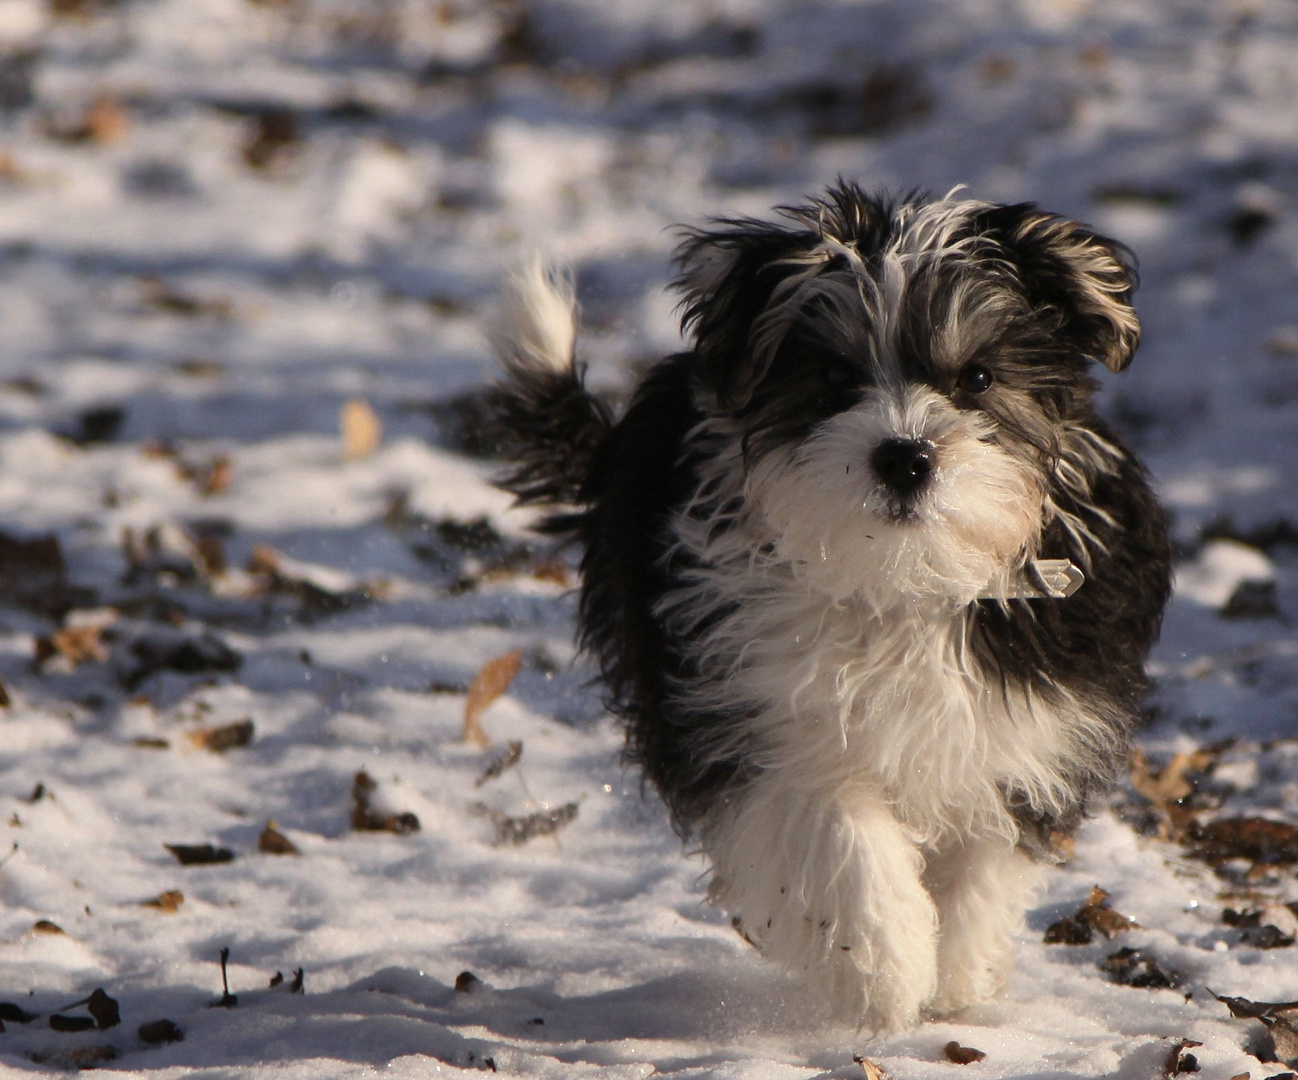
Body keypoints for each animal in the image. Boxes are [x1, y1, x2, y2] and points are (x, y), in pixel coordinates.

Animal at [488, 183, 1178, 1028]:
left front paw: (956, 973)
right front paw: (883, 967)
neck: (901, 577)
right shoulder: (753, 710)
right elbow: (836, 827)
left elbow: (986, 856)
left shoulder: (1031, 722)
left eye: (979, 378)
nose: (906, 456)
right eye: (832, 376)